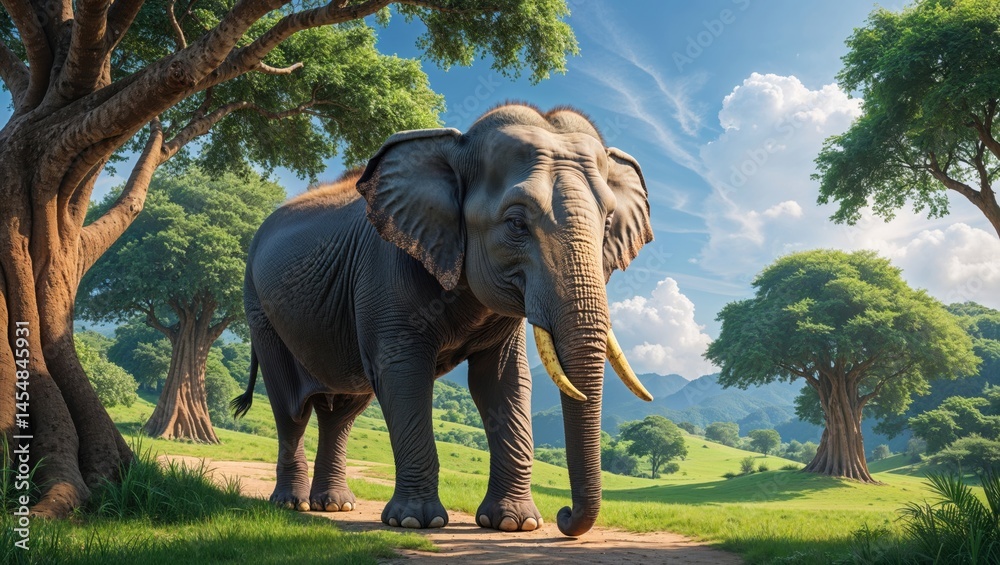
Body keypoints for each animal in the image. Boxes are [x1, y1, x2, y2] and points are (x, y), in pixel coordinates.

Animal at [231, 103, 654, 537]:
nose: (564, 516)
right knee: (290, 409)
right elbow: (403, 373)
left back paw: (334, 505)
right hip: (259, 310)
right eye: (517, 223)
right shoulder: (385, 269)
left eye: (608, 224)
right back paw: (292, 503)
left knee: (341, 414)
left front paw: (514, 524)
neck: (457, 145)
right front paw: (417, 521)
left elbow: (502, 380)